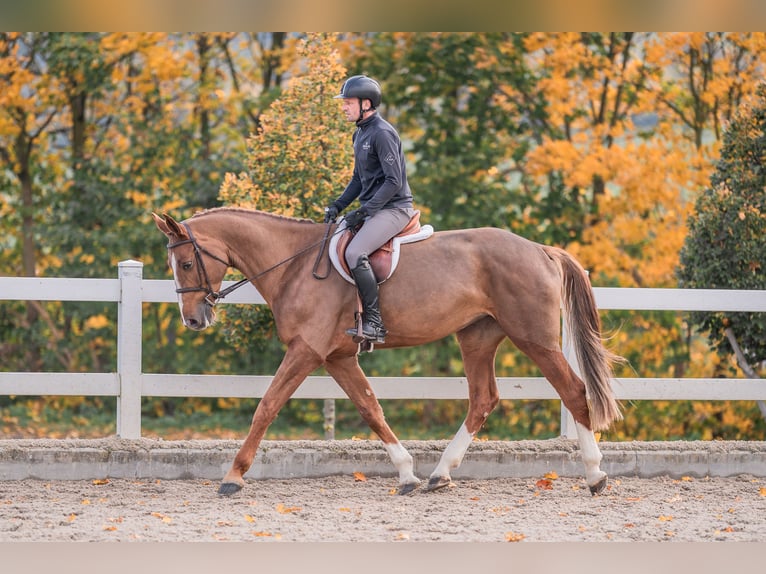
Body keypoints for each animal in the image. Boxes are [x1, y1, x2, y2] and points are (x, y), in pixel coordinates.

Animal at [154, 208, 624, 500]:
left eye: (187, 264)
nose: (193, 319)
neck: (293, 265)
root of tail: (541, 249)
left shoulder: (306, 350)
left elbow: (266, 406)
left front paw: (233, 477)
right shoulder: (337, 357)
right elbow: (370, 408)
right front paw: (407, 473)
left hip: (534, 339)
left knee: (573, 391)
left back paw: (596, 475)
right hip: (477, 337)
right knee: (483, 399)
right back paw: (439, 475)